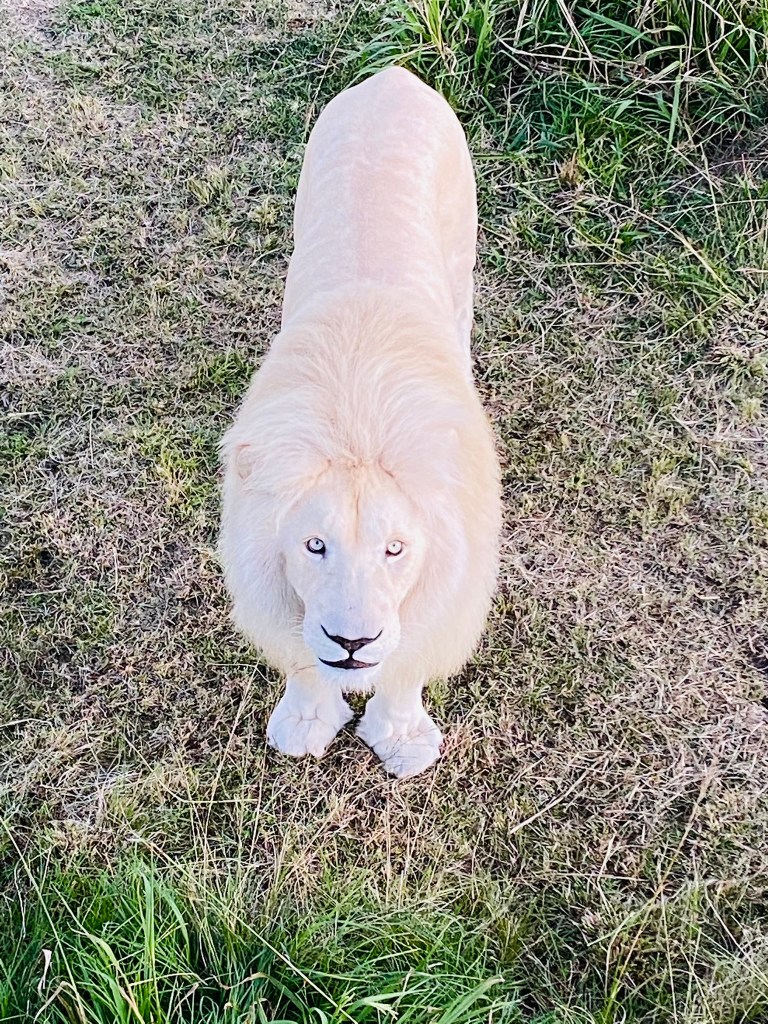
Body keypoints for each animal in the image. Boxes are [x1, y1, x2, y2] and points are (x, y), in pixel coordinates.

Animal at [219, 67, 501, 778]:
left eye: (395, 549)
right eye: (314, 545)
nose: (353, 641)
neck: (358, 427)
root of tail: (393, 77)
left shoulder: (442, 597)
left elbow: (403, 667)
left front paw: (401, 740)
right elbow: (303, 661)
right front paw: (306, 724)